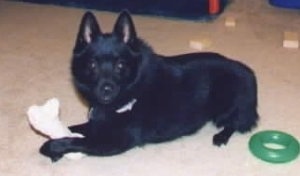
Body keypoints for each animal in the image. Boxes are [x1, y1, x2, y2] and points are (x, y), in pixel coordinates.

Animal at [40, 11, 258, 162]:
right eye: (92, 65)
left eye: (121, 65)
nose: (106, 89)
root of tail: (248, 72)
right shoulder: (98, 124)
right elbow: (74, 129)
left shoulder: (115, 141)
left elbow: (77, 140)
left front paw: (51, 146)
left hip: (227, 103)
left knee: (235, 123)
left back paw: (221, 136)